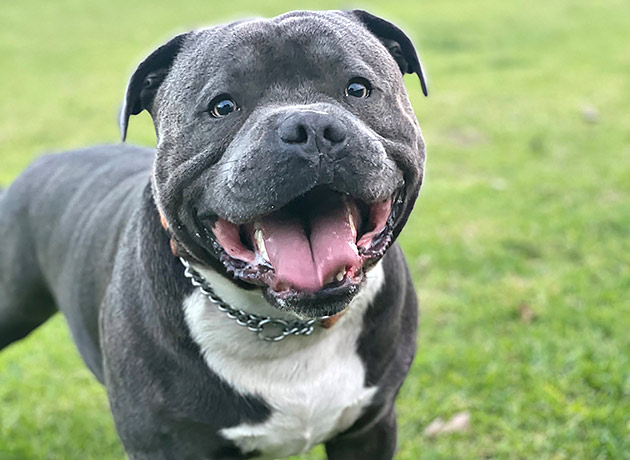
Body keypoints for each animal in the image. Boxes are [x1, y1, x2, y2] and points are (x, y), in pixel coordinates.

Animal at [0, 8, 430, 460]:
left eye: (358, 88)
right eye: (222, 106)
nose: (308, 125)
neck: (279, 324)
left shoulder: (369, 428)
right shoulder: (166, 446)